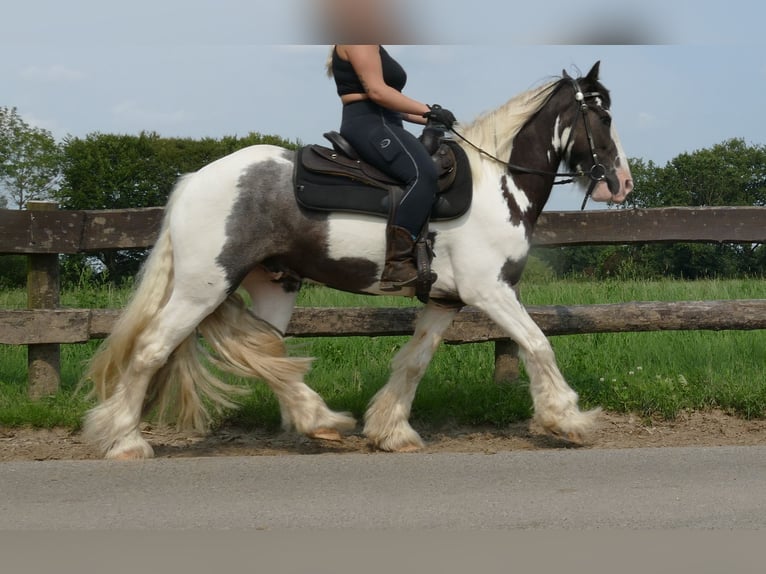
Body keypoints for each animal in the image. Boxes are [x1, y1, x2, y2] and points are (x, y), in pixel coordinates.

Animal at [82, 62, 636, 460]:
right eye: (604, 117)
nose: (622, 183)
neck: (497, 184)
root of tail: (194, 180)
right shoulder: (491, 290)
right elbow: (538, 344)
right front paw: (568, 419)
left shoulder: (446, 299)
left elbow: (414, 361)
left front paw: (391, 431)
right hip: (204, 286)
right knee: (151, 349)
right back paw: (126, 441)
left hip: (273, 285)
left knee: (268, 353)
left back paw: (321, 422)